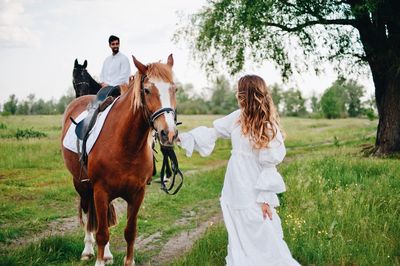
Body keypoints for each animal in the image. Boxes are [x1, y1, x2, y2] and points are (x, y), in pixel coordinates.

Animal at [60, 55, 177, 264]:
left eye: (174, 89)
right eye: (147, 90)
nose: (168, 133)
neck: (126, 145)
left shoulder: (137, 194)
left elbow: (130, 232)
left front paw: (127, 261)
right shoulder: (100, 191)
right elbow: (101, 233)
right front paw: (98, 260)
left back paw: (106, 253)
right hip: (82, 186)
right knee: (89, 214)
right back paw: (88, 250)